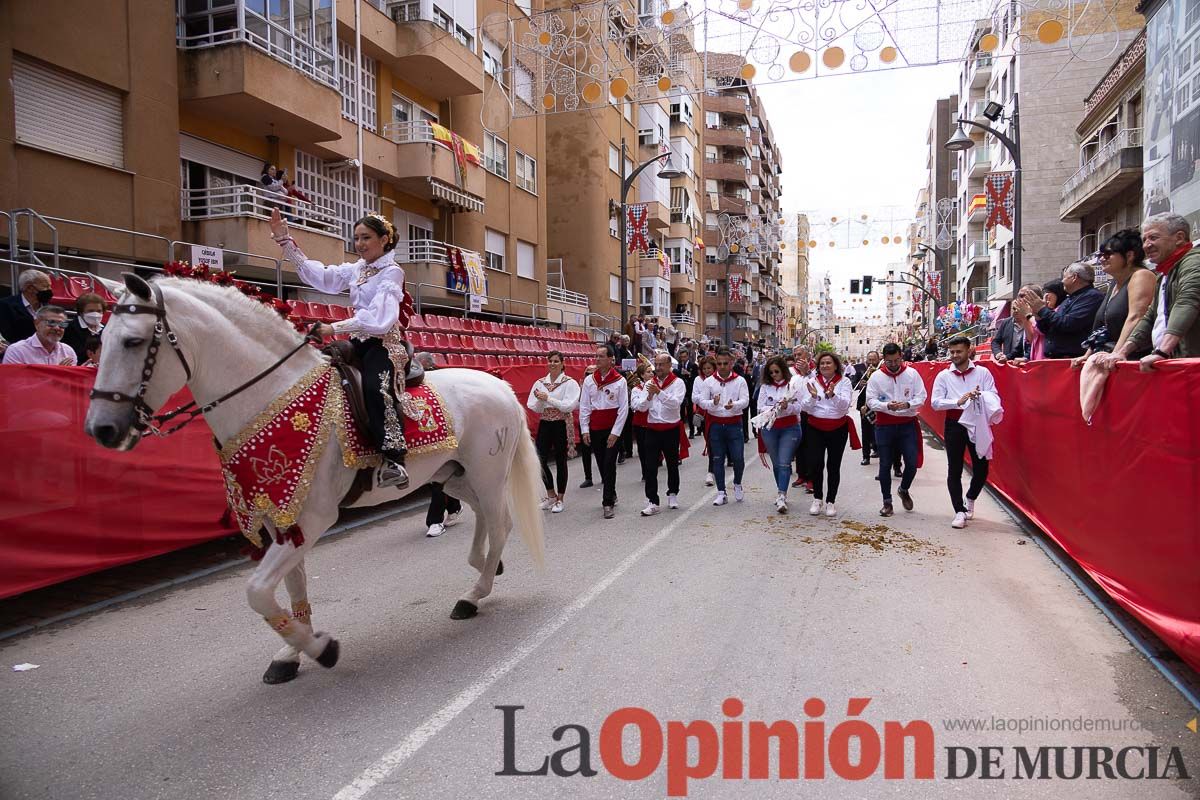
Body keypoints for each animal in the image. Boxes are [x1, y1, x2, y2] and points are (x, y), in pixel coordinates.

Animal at [87, 273, 547, 681]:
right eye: (101, 342)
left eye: (132, 342)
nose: (101, 429)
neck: (272, 395)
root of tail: (500, 385)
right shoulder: (281, 516)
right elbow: (292, 586)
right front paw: (292, 652)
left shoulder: (311, 518)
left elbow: (258, 591)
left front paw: (321, 648)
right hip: (453, 476)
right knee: (485, 518)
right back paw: (486, 567)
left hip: (487, 474)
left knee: (501, 522)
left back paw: (474, 594)